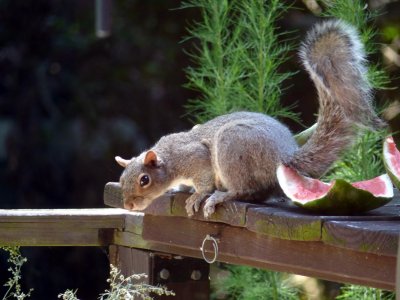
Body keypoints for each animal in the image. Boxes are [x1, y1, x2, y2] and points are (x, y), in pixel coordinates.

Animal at [116, 21, 384, 218]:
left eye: (144, 180)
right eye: (121, 178)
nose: (129, 205)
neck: (169, 158)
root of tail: (283, 157)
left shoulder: (195, 157)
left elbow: (203, 180)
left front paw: (196, 195)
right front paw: (182, 188)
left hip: (232, 147)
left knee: (247, 190)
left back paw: (221, 196)